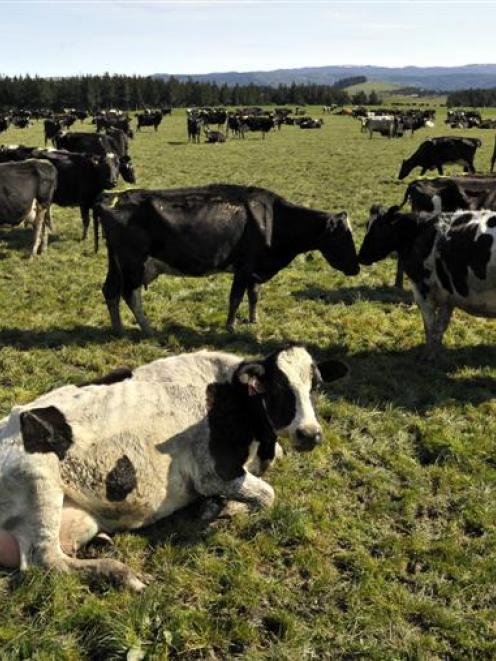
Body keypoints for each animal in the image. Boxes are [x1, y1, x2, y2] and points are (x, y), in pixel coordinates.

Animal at [0, 346, 348, 588]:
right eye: (276, 388)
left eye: (315, 386)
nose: (310, 434)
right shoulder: (214, 474)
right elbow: (267, 496)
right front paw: (223, 509)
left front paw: (218, 507)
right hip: (39, 482)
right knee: (46, 560)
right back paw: (122, 574)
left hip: (76, 515)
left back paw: (102, 544)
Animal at [95, 182, 360, 332]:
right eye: (343, 236)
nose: (357, 268)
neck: (273, 220)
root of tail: (113, 198)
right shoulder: (243, 268)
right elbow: (235, 298)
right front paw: (231, 326)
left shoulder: (254, 269)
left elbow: (254, 295)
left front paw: (253, 320)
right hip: (133, 263)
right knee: (130, 294)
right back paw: (147, 328)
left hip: (117, 263)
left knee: (110, 290)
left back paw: (118, 329)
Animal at [358, 206, 496, 358]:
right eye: (367, 225)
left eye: (377, 228)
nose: (360, 256)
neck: (418, 231)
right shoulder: (448, 295)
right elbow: (440, 326)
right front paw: (436, 351)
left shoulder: (422, 290)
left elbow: (430, 325)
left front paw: (428, 354)